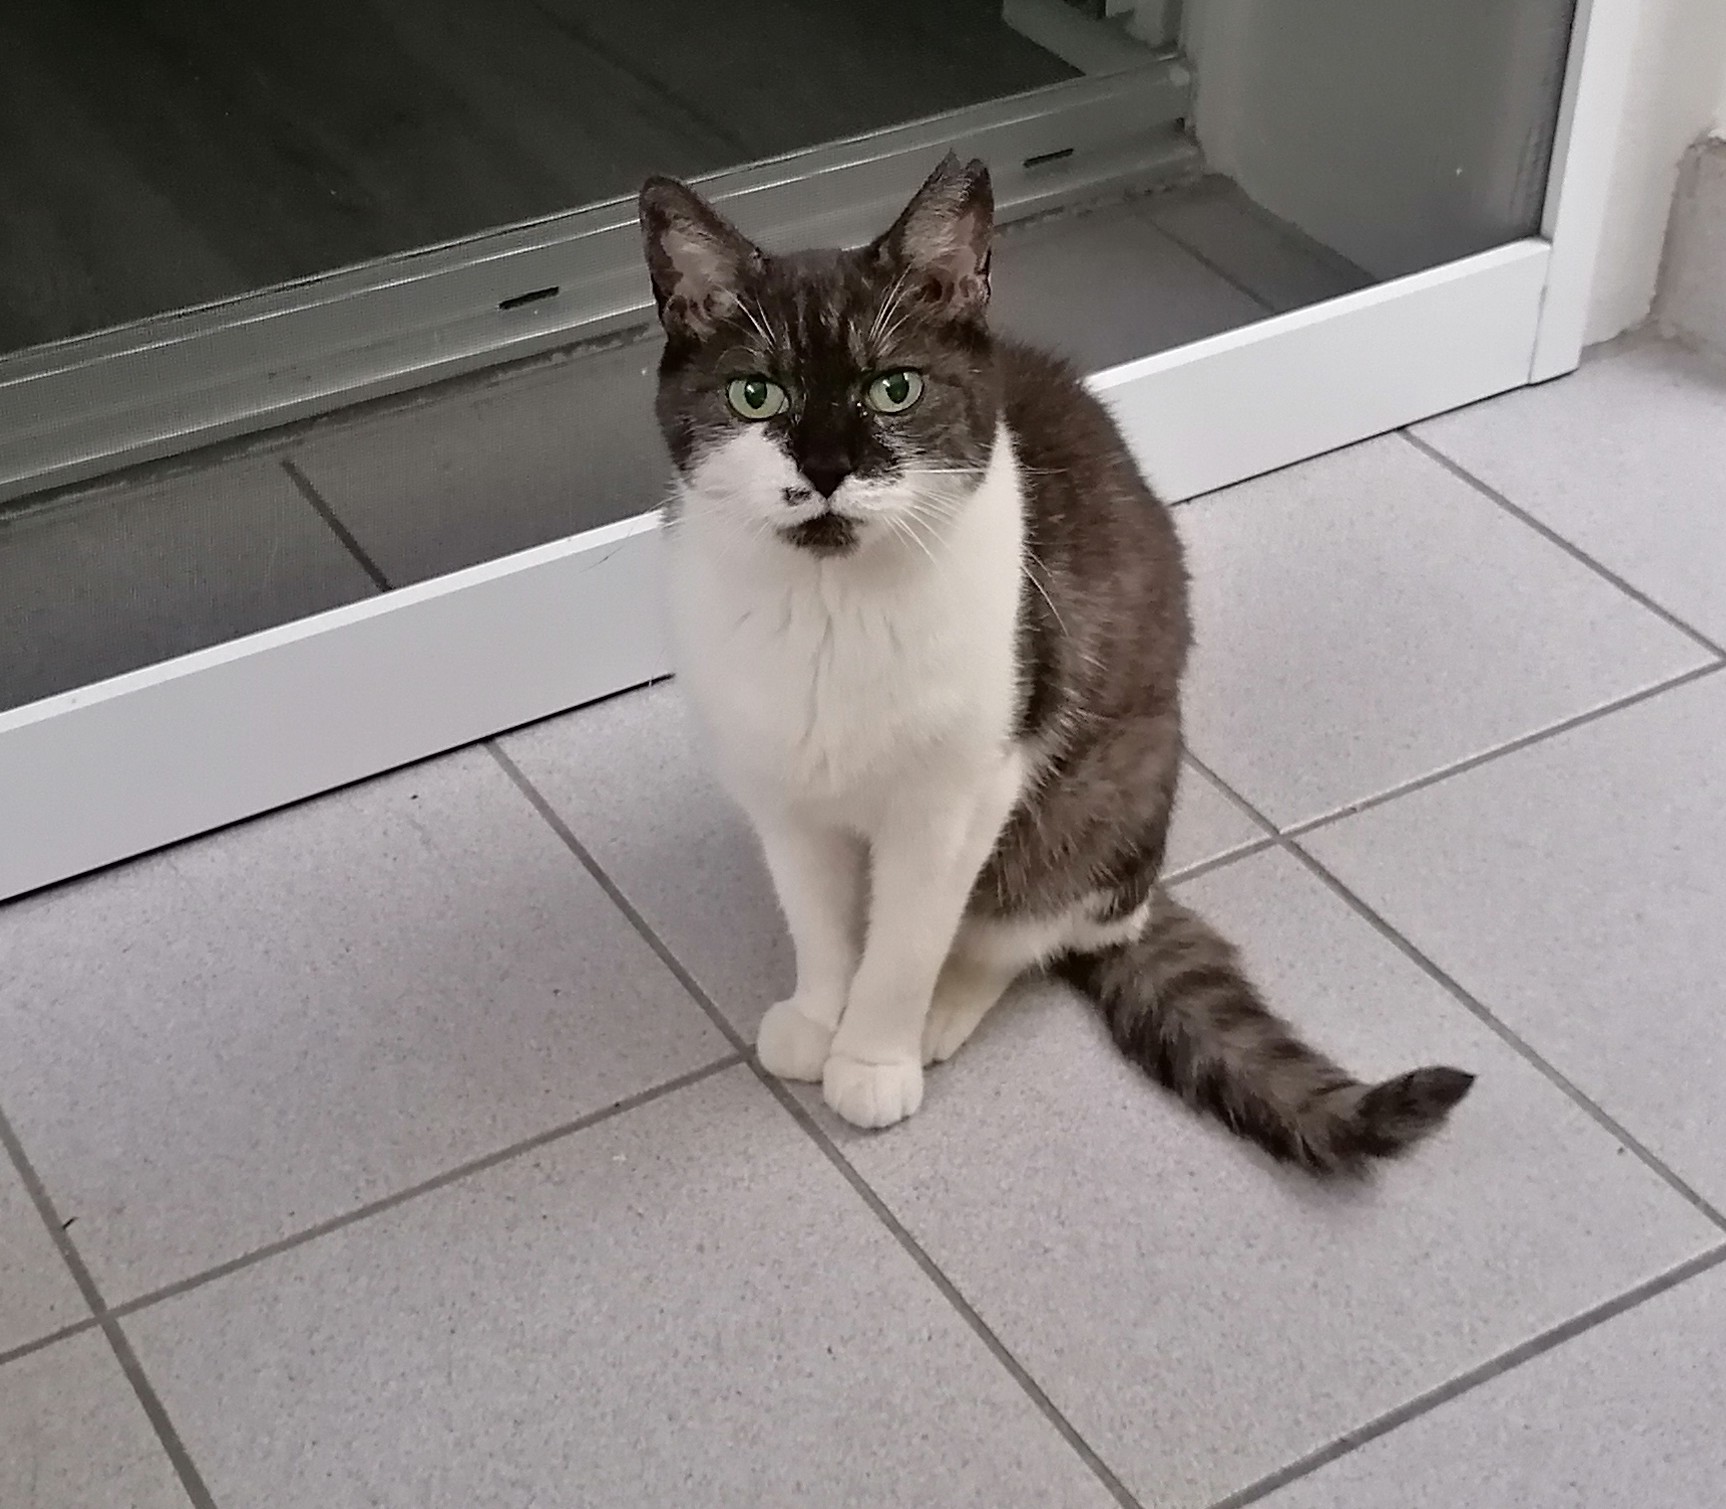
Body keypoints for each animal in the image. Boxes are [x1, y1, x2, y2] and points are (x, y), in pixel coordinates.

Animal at [637, 154, 1473, 1171]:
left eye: (895, 389)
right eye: (755, 395)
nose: (827, 467)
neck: (831, 611)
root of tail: (1147, 889)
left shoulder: (964, 793)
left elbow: (908, 940)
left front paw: (872, 1057)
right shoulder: (782, 788)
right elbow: (820, 920)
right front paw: (817, 1016)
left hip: (1098, 798)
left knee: (1027, 925)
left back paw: (946, 1009)